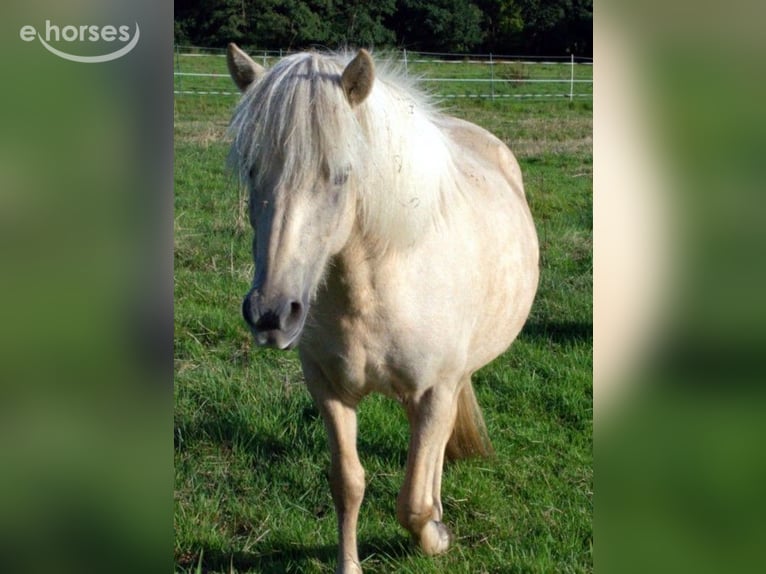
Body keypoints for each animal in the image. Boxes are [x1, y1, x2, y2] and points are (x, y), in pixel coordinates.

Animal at [226, 43, 539, 573]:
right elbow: (348, 483)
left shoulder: (434, 392)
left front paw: (436, 535)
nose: (271, 315)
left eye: (340, 174)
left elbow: (411, 501)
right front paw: (350, 565)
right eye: (252, 170)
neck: (373, 293)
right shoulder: (329, 390)